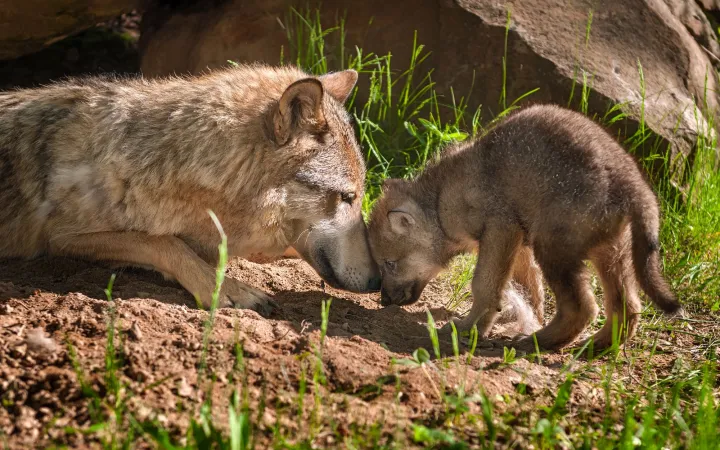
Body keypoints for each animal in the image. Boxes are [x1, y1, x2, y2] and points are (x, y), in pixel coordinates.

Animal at [0, 65, 381, 313]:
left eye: (359, 197)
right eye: (347, 197)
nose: (377, 283)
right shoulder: (62, 238)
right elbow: (164, 243)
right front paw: (229, 289)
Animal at [368, 104, 682, 350]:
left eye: (389, 263)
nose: (383, 301)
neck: (441, 198)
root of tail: (632, 186)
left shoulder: (500, 229)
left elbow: (485, 287)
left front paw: (469, 329)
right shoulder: (517, 243)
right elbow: (531, 292)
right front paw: (522, 319)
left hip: (554, 250)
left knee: (583, 308)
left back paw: (538, 342)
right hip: (610, 255)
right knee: (626, 308)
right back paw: (592, 346)